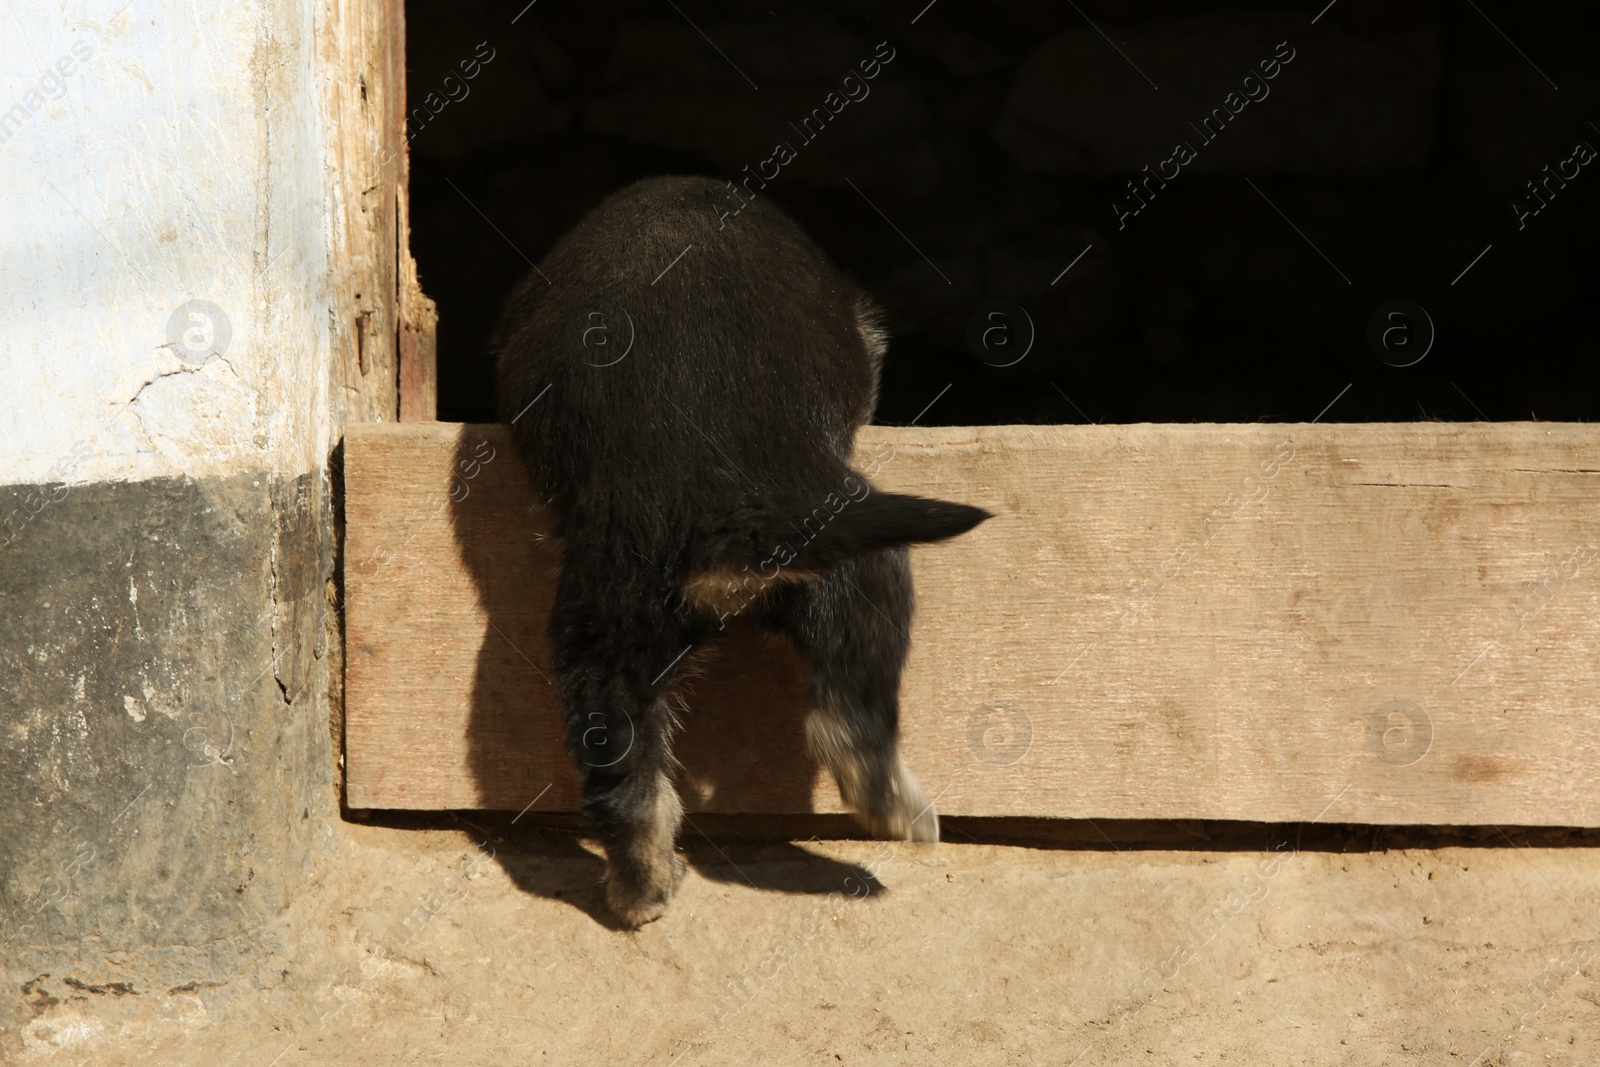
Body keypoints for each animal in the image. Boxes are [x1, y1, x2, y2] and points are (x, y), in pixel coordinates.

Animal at [489, 175, 985, 927]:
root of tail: (714, 519)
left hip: (608, 611)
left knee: (619, 769)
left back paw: (641, 886)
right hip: (858, 551)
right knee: (850, 715)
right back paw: (901, 809)